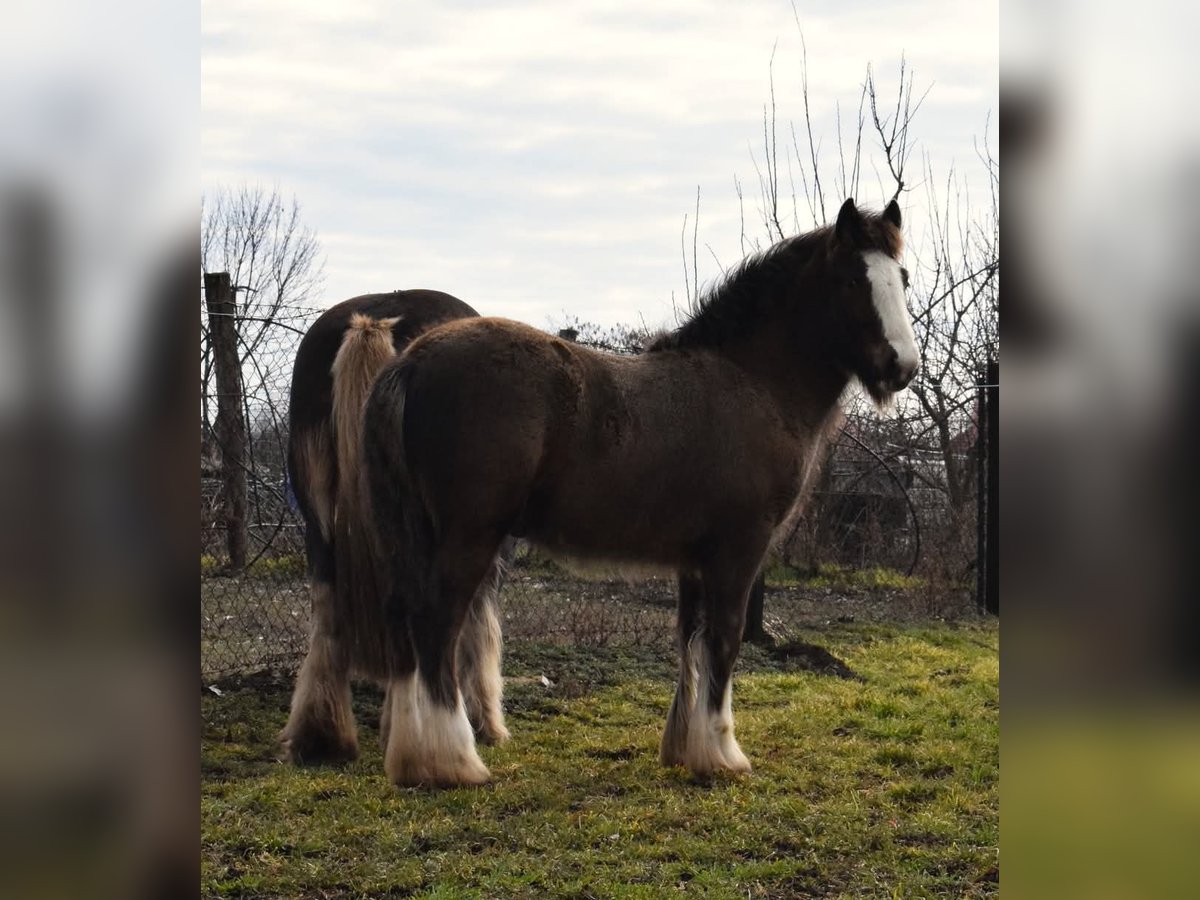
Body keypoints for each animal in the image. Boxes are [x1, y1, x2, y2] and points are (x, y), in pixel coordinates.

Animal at [348, 200, 916, 787]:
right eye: (853, 279)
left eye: (901, 277)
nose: (901, 367)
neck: (752, 381)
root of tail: (412, 361)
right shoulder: (738, 550)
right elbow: (725, 640)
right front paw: (723, 752)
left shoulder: (695, 559)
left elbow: (690, 639)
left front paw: (686, 749)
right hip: (468, 538)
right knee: (436, 625)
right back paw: (454, 760)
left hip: (413, 534)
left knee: (405, 624)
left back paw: (412, 758)